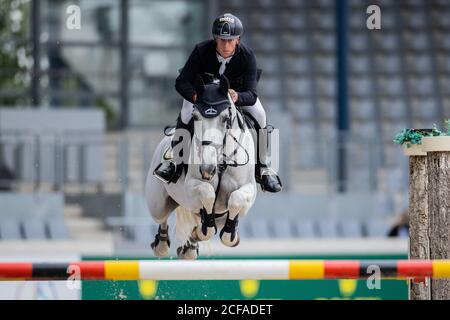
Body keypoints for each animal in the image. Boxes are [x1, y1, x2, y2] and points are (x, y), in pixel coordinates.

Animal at [144, 75, 256, 260]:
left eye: (225, 118)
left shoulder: (248, 189)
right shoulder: (191, 187)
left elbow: (236, 199)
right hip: (158, 205)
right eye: (195, 117)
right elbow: (207, 194)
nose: (207, 170)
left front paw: (230, 235)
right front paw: (206, 228)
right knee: (162, 218)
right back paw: (162, 245)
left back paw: (190, 245)